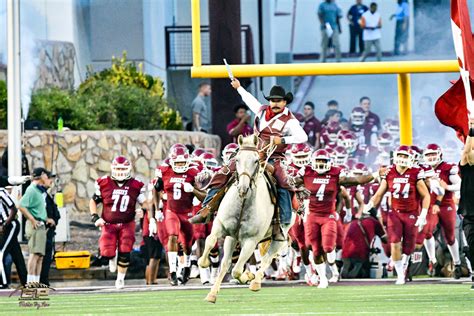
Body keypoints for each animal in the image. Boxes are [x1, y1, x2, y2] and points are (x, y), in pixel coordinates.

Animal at [197, 135, 294, 304]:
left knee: (267, 258)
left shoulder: (251, 240)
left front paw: (247, 276)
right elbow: (213, 244)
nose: (243, 188)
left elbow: (236, 270)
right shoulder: (224, 230)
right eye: (237, 159)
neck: (243, 203)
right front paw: (211, 291)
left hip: (278, 237)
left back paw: (255, 282)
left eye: (256, 160)